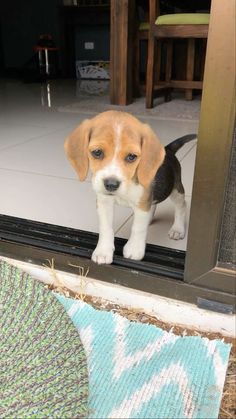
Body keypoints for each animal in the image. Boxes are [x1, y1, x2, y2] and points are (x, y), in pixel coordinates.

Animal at [64, 110, 195, 264]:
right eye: (97, 152)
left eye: (132, 156)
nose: (111, 184)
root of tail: (167, 149)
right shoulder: (104, 202)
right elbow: (105, 227)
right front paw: (103, 251)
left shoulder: (142, 202)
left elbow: (138, 228)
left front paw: (134, 250)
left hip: (174, 189)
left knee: (181, 205)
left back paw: (178, 228)